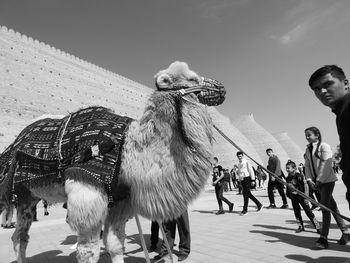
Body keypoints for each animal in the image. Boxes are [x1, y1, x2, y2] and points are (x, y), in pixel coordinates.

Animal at [0, 60, 226, 262]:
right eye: (192, 79)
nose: (220, 87)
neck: (127, 150)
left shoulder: (119, 202)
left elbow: (115, 245)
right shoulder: (86, 194)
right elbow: (88, 252)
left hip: (27, 196)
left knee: (20, 236)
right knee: (19, 234)